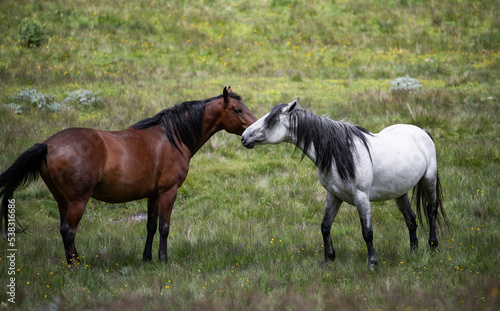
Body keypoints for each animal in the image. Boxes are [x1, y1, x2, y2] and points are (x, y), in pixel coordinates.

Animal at [0, 86, 256, 264]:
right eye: (237, 110)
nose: (252, 133)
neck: (171, 137)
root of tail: (47, 145)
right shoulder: (168, 191)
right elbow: (165, 226)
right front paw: (164, 259)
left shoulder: (153, 194)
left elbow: (151, 225)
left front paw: (147, 258)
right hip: (77, 201)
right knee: (69, 231)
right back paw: (76, 267)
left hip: (62, 200)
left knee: (64, 231)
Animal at [240, 99, 448, 268]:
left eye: (271, 120)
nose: (244, 137)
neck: (340, 154)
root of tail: (422, 132)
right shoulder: (333, 195)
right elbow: (325, 226)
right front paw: (328, 259)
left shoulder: (361, 197)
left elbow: (367, 232)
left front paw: (372, 263)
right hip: (399, 192)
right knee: (411, 219)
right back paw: (413, 251)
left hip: (428, 179)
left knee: (431, 210)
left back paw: (433, 245)